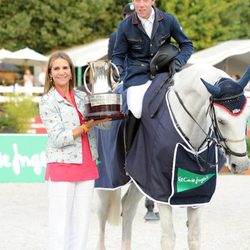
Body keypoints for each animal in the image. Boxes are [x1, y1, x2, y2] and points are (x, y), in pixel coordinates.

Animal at [94, 64, 249, 250]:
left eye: (246, 118)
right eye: (221, 120)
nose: (241, 164)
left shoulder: (196, 192)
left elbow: (194, 237)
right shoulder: (160, 188)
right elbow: (168, 239)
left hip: (139, 180)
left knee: (128, 207)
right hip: (108, 178)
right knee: (102, 213)